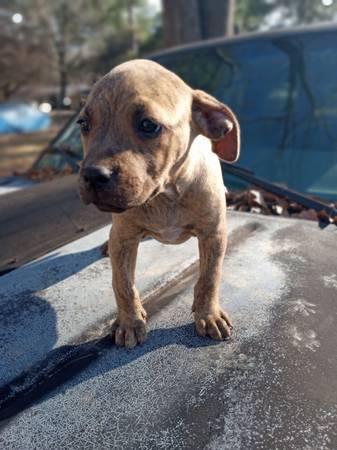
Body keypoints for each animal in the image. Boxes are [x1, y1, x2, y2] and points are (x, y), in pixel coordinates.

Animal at [78, 59, 239, 348]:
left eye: (148, 125)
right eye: (84, 124)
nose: (93, 175)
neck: (165, 196)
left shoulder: (214, 234)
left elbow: (210, 277)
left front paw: (208, 314)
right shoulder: (124, 238)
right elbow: (122, 284)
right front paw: (130, 322)